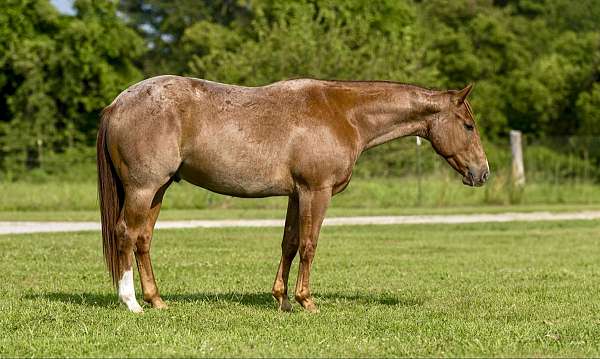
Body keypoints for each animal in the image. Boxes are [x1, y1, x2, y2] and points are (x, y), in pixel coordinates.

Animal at [95, 75, 488, 312]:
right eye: (468, 126)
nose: (482, 173)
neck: (344, 114)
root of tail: (118, 103)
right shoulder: (317, 191)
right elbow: (310, 245)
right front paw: (306, 301)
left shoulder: (297, 195)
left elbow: (289, 243)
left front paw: (282, 300)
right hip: (143, 189)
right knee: (126, 235)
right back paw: (131, 302)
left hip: (158, 189)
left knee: (143, 239)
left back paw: (157, 300)